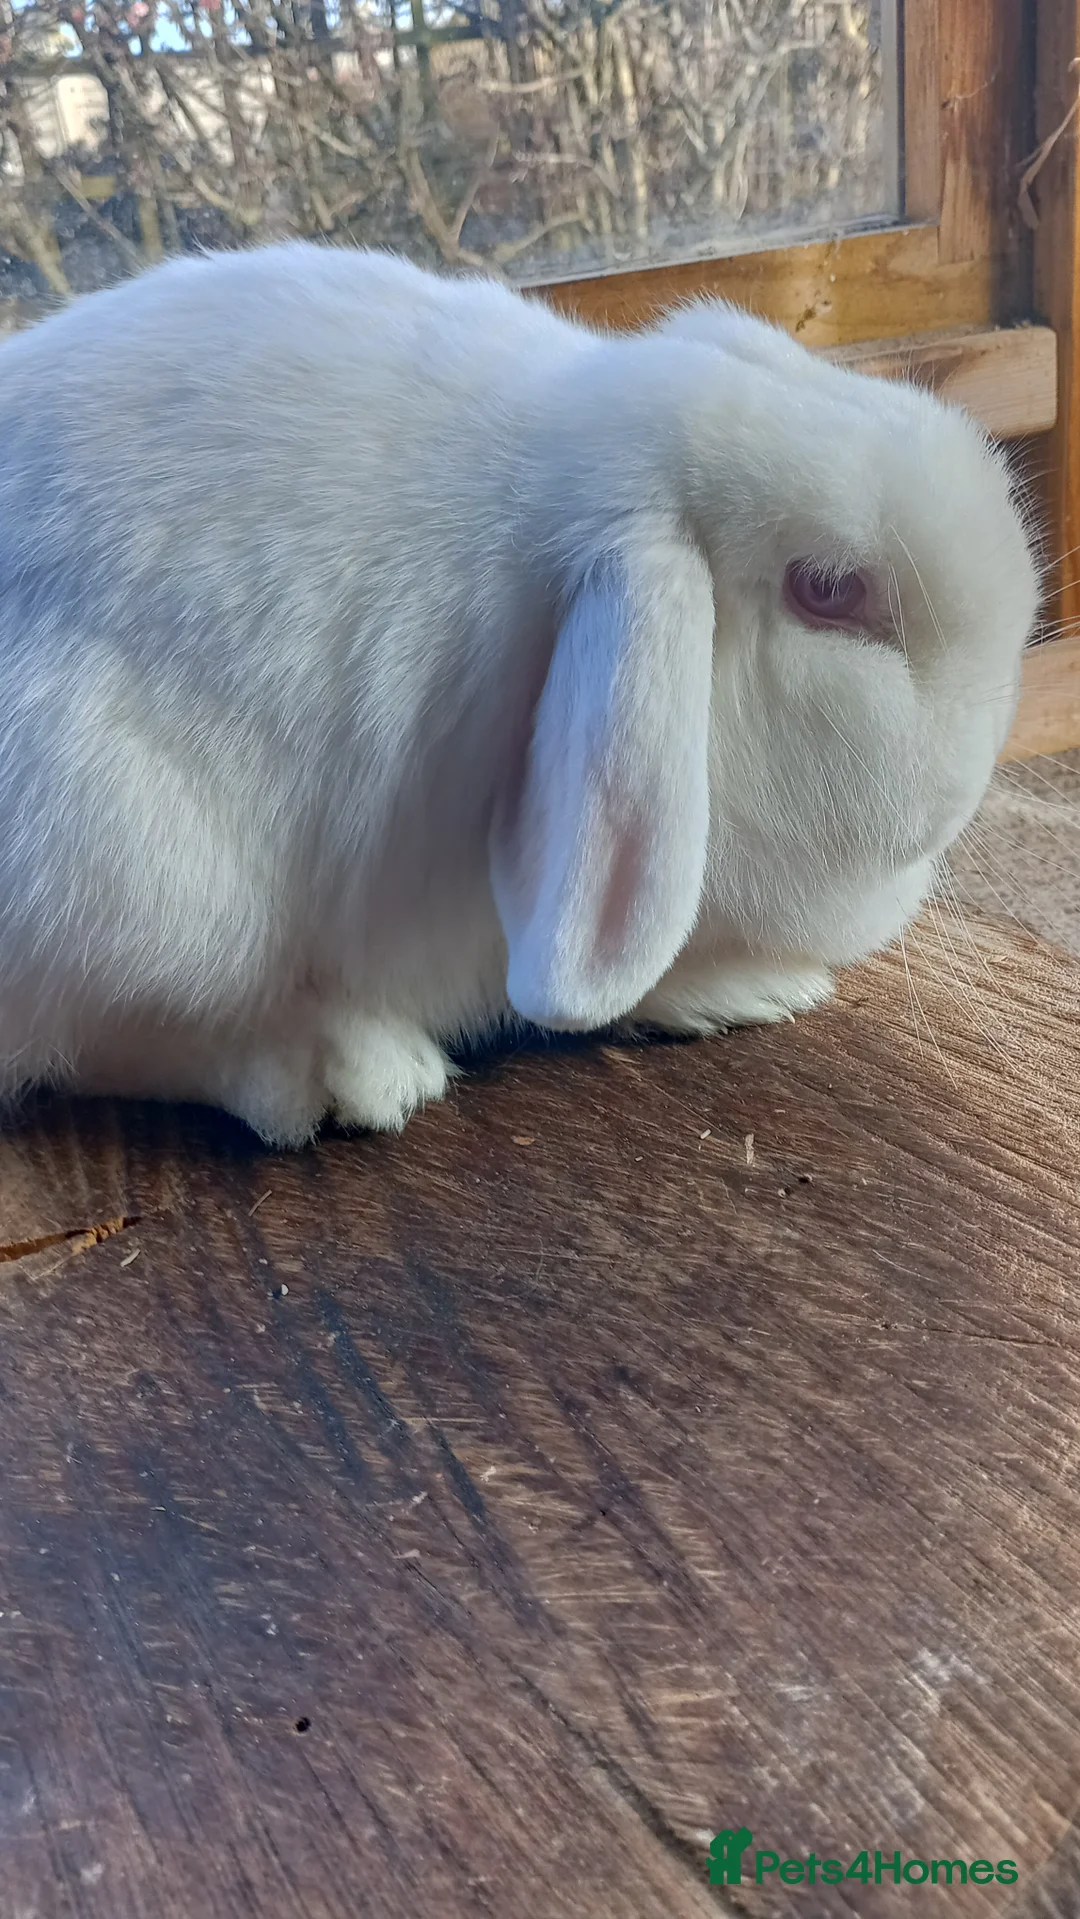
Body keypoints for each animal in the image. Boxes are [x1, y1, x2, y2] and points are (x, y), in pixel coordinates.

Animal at [0, 241, 1039, 1146]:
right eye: (827, 590)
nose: (985, 750)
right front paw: (757, 988)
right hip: (127, 862)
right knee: (120, 1037)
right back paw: (346, 1070)